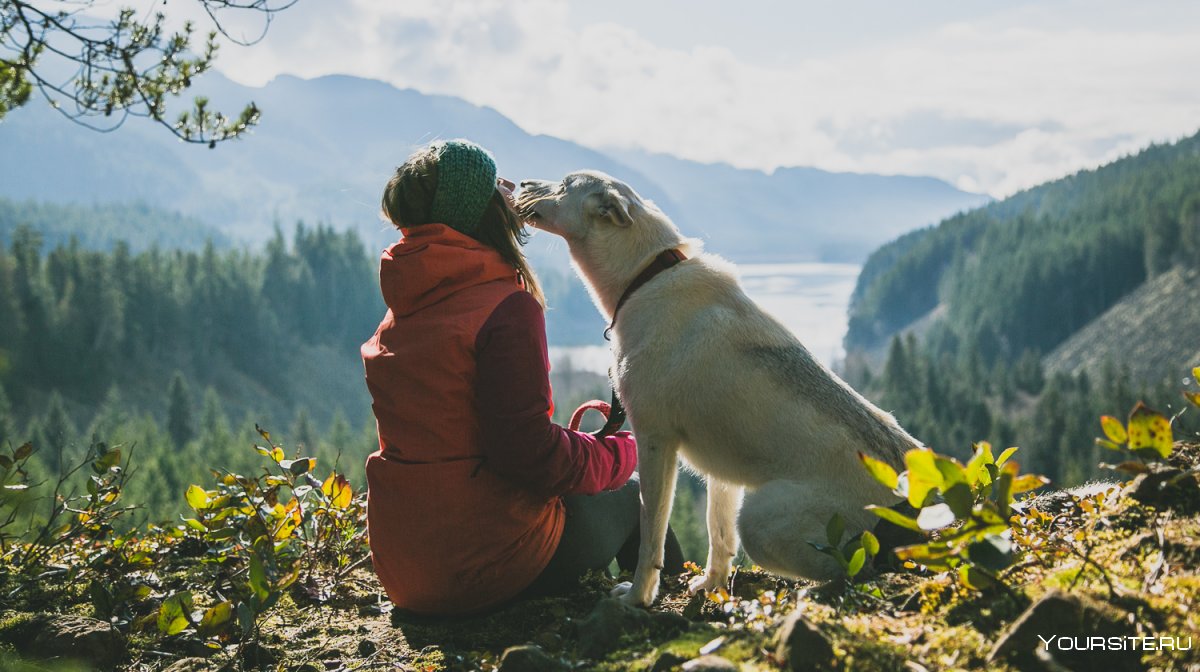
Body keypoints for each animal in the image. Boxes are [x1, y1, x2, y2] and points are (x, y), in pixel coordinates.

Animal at [516, 170, 916, 607]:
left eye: (565, 182)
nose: (520, 183)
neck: (645, 275)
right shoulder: (721, 467)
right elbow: (717, 533)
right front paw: (712, 586)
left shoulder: (654, 442)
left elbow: (652, 537)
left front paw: (638, 596)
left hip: (760, 519)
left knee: (858, 569)